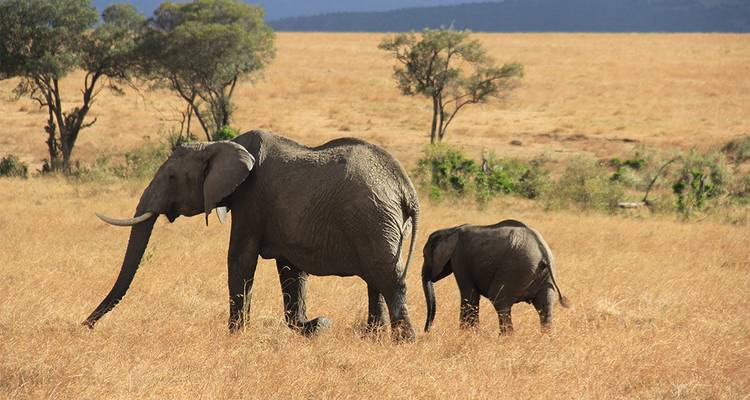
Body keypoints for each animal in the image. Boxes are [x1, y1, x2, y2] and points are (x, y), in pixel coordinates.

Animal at [84, 130, 419, 340]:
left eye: (171, 177)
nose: (85, 325)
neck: (219, 144)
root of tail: (406, 189)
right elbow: (291, 270)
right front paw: (316, 326)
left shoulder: (250, 198)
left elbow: (240, 259)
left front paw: (235, 335)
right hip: (379, 222)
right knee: (376, 279)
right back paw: (373, 336)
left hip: (373, 219)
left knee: (388, 277)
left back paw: (404, 341)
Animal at [421, 219, 569, 334]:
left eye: (424, 255)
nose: (427, 331)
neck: (452, 229)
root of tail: (543, 252)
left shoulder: (460, 258)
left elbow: (469, 296)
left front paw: (467, 335)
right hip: (544, 278)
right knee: (545, 308)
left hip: (513, 270)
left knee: (499, 301)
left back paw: (505, 338)